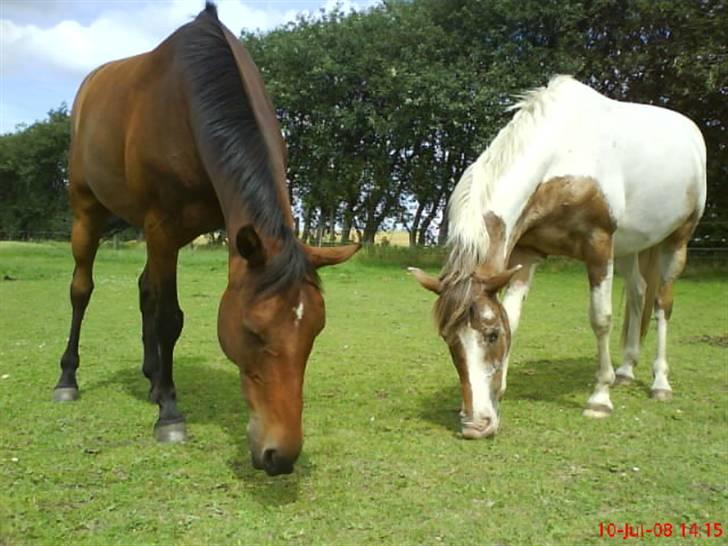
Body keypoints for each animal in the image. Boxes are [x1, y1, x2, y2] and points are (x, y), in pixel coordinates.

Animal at [54, 3, 358, 472]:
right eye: (253, 331)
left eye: (316, 331)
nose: (280, 456)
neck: (188, 103)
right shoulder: (162, 228)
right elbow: (169, 317)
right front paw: (169, 414)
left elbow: (157, 304)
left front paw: (161, 388)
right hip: (88, 213)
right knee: (81, 289)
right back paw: (69, 378)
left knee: (144, 289)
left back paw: (152, 376)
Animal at [412, 74, 708, 436]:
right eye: (447, 338)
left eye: (491, 334)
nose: (475, 425)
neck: (561, 156)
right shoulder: (527, 253)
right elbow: (514, 316)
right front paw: (501, 391)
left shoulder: (599, 246)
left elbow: (601, 318)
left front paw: (599, 398)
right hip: (630, 246)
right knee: (639, 293)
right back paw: (625, 371)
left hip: (676, 241)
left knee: (662, 305)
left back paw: (660, 383)